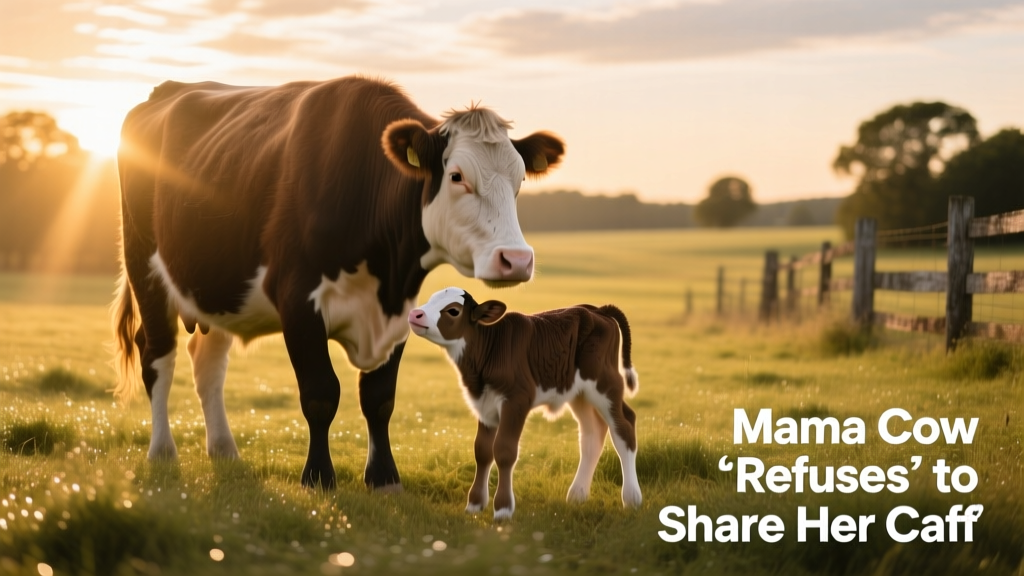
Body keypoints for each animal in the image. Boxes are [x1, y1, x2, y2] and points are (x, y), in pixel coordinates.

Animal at [111, 76, 565, 490]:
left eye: (520, 179)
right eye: (456, 176)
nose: (516, 259)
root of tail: (166, 89)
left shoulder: (400, 312)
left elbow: (379, 398)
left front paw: (384, 478)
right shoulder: (298, 304)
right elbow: (320, 394)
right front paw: (318, 477)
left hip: (218, 288)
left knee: (207, 363)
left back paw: (224, 451)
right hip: (145, 268)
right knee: (157, 356)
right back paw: (162, 452)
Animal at [408, 287, 642, 520]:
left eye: (453, 310)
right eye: (431, 298)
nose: (415, 314)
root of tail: (596, 309)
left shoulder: (517, 399)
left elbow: (504, 450)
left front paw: (503, 509)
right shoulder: (485, 404)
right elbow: (482, 451)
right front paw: (474, 505)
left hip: (604, 383)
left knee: (624, 426)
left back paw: (631, 498)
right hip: (579, 393)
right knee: (592, 433)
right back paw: (577, 495)